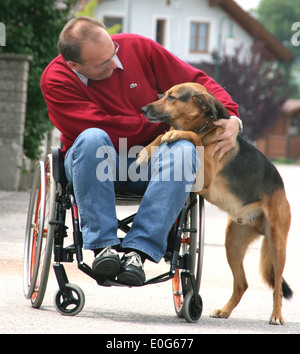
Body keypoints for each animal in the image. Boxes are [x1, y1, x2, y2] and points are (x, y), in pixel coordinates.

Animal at [140, 81, 292, 324]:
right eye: (164, 94)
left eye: (171, 97)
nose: (143, 109)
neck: (204, 127)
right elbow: (165, 136)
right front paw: (146, 151)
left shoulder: (205, 176)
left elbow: (191, 137)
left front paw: (176, 133)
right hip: (233, 243)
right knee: (242, 284)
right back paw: (225, 311)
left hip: (278, 246)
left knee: (277, 286)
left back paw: (276, 315)